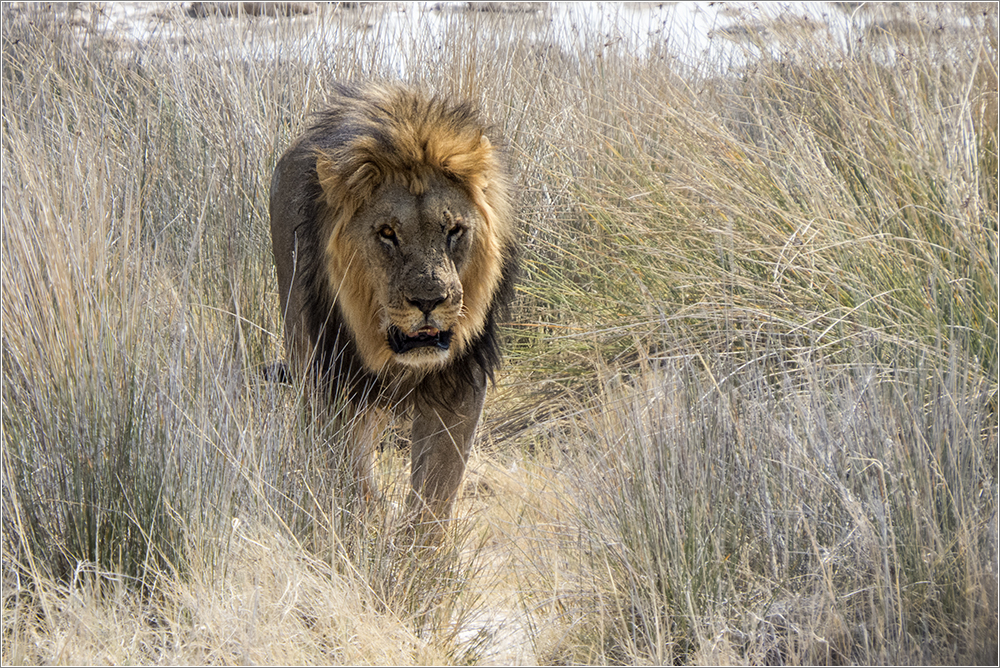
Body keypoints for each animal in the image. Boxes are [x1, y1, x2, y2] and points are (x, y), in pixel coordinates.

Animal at [270, 82, 520, 536]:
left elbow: (438, 487)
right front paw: (359, 526)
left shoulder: (460, 382)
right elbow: (345, 466)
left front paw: (417, 551)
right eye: (387, 234)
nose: (429, 301)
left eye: (454, 230)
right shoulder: (332, 377)